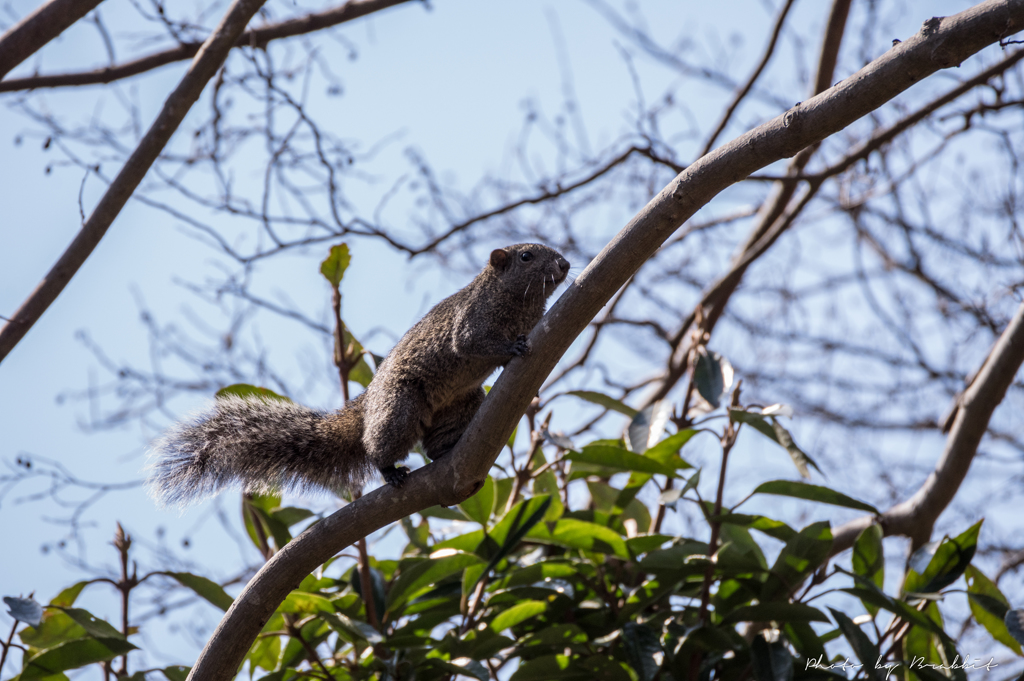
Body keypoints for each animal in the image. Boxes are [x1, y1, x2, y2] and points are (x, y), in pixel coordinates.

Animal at [148, 242, 573, 503]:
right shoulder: (471, 321)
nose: (566, 264)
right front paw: (511, 349)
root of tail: (368, 404)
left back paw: (449, 450)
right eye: (526, 256)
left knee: (434, 444)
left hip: (460, 404)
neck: (521, 303)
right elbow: (471, 344)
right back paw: (390, 471)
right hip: (401, 407)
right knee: (377, 447)